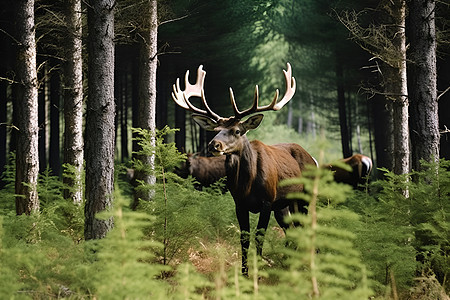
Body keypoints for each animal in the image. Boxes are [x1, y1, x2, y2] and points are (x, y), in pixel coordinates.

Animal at [172, 64, 316, 276]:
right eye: (216, 130)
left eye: (237, 131)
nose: (214, 145)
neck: (247, 184)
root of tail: (311, 157)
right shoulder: (239, 203)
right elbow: (244, 238)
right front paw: (245, 272)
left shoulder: (267, 201)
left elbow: (259, 236)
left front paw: (258, 270)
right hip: (284, 204)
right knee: (291, 228)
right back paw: (288, 260)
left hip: (304, 196)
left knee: (305, 225)